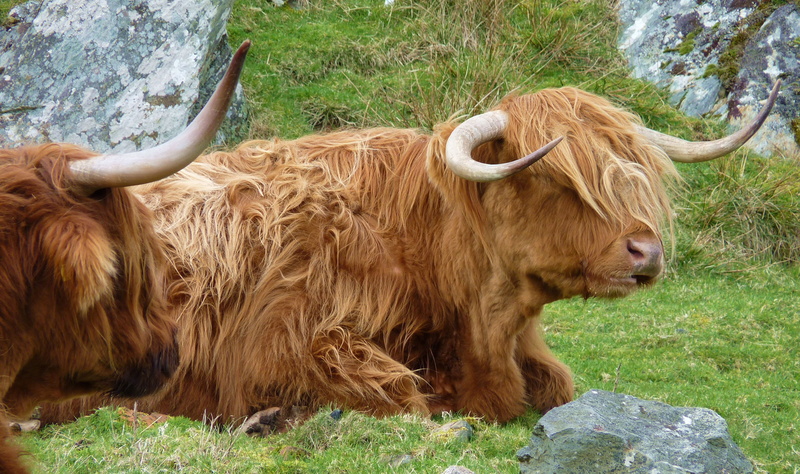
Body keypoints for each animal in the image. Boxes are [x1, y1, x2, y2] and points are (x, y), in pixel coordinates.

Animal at [41, 80, 779, 430]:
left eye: (631, 173)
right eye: (552, 176)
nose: (646, 249)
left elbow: (557, 387)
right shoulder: (289, 343)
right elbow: (405, 398)